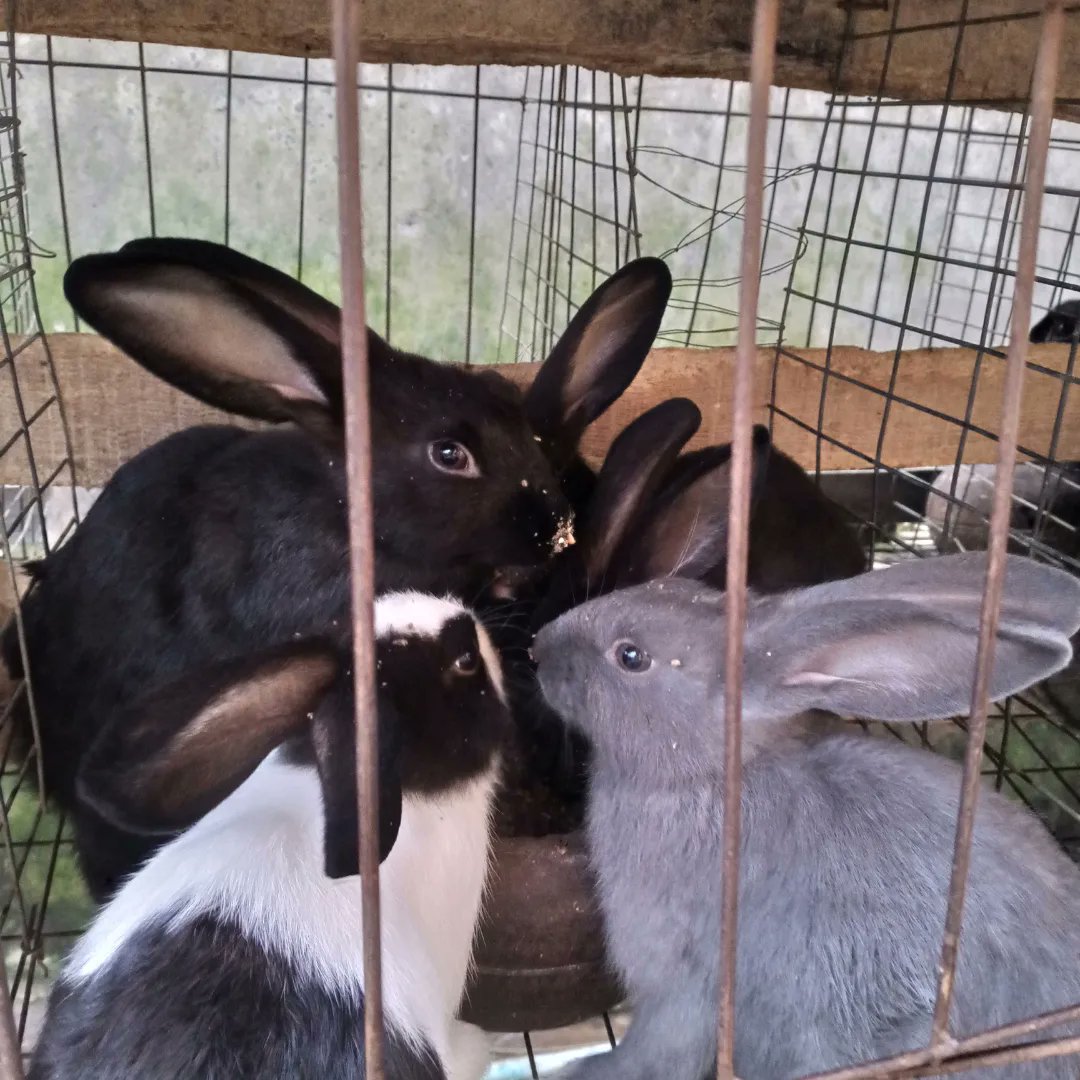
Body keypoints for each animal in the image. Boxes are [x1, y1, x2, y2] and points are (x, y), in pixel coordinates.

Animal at [532, 551, 1080, 1080]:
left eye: (631, 656)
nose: (538, 646)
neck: (715, 777)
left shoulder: (683, 978)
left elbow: (660, 1050)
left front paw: (584, 1071)